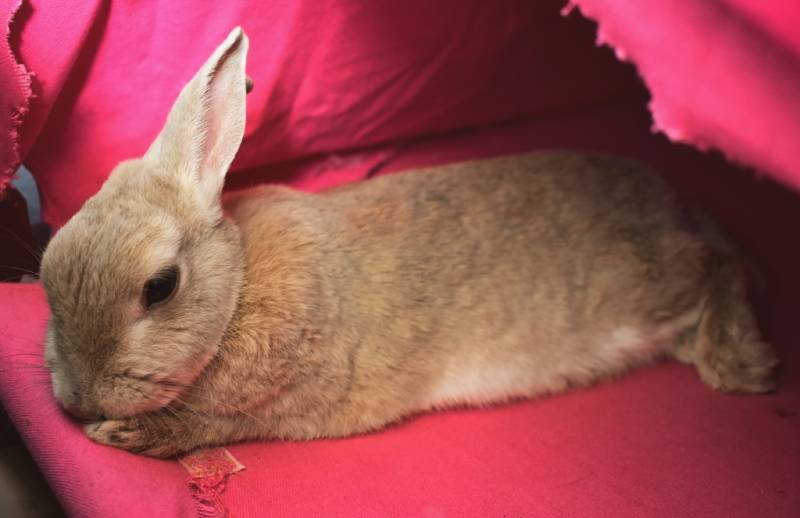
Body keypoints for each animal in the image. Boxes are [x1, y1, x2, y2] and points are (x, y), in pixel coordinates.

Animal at [39, 27, 778, 458]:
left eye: (160, 287)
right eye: (44, 273)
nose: (75, 399)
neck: (240, 284)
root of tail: (672, 202)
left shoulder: (294, 402)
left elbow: (207, 428)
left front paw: (127, 433)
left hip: (657, 281)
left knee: (724, 261)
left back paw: (742, 363)